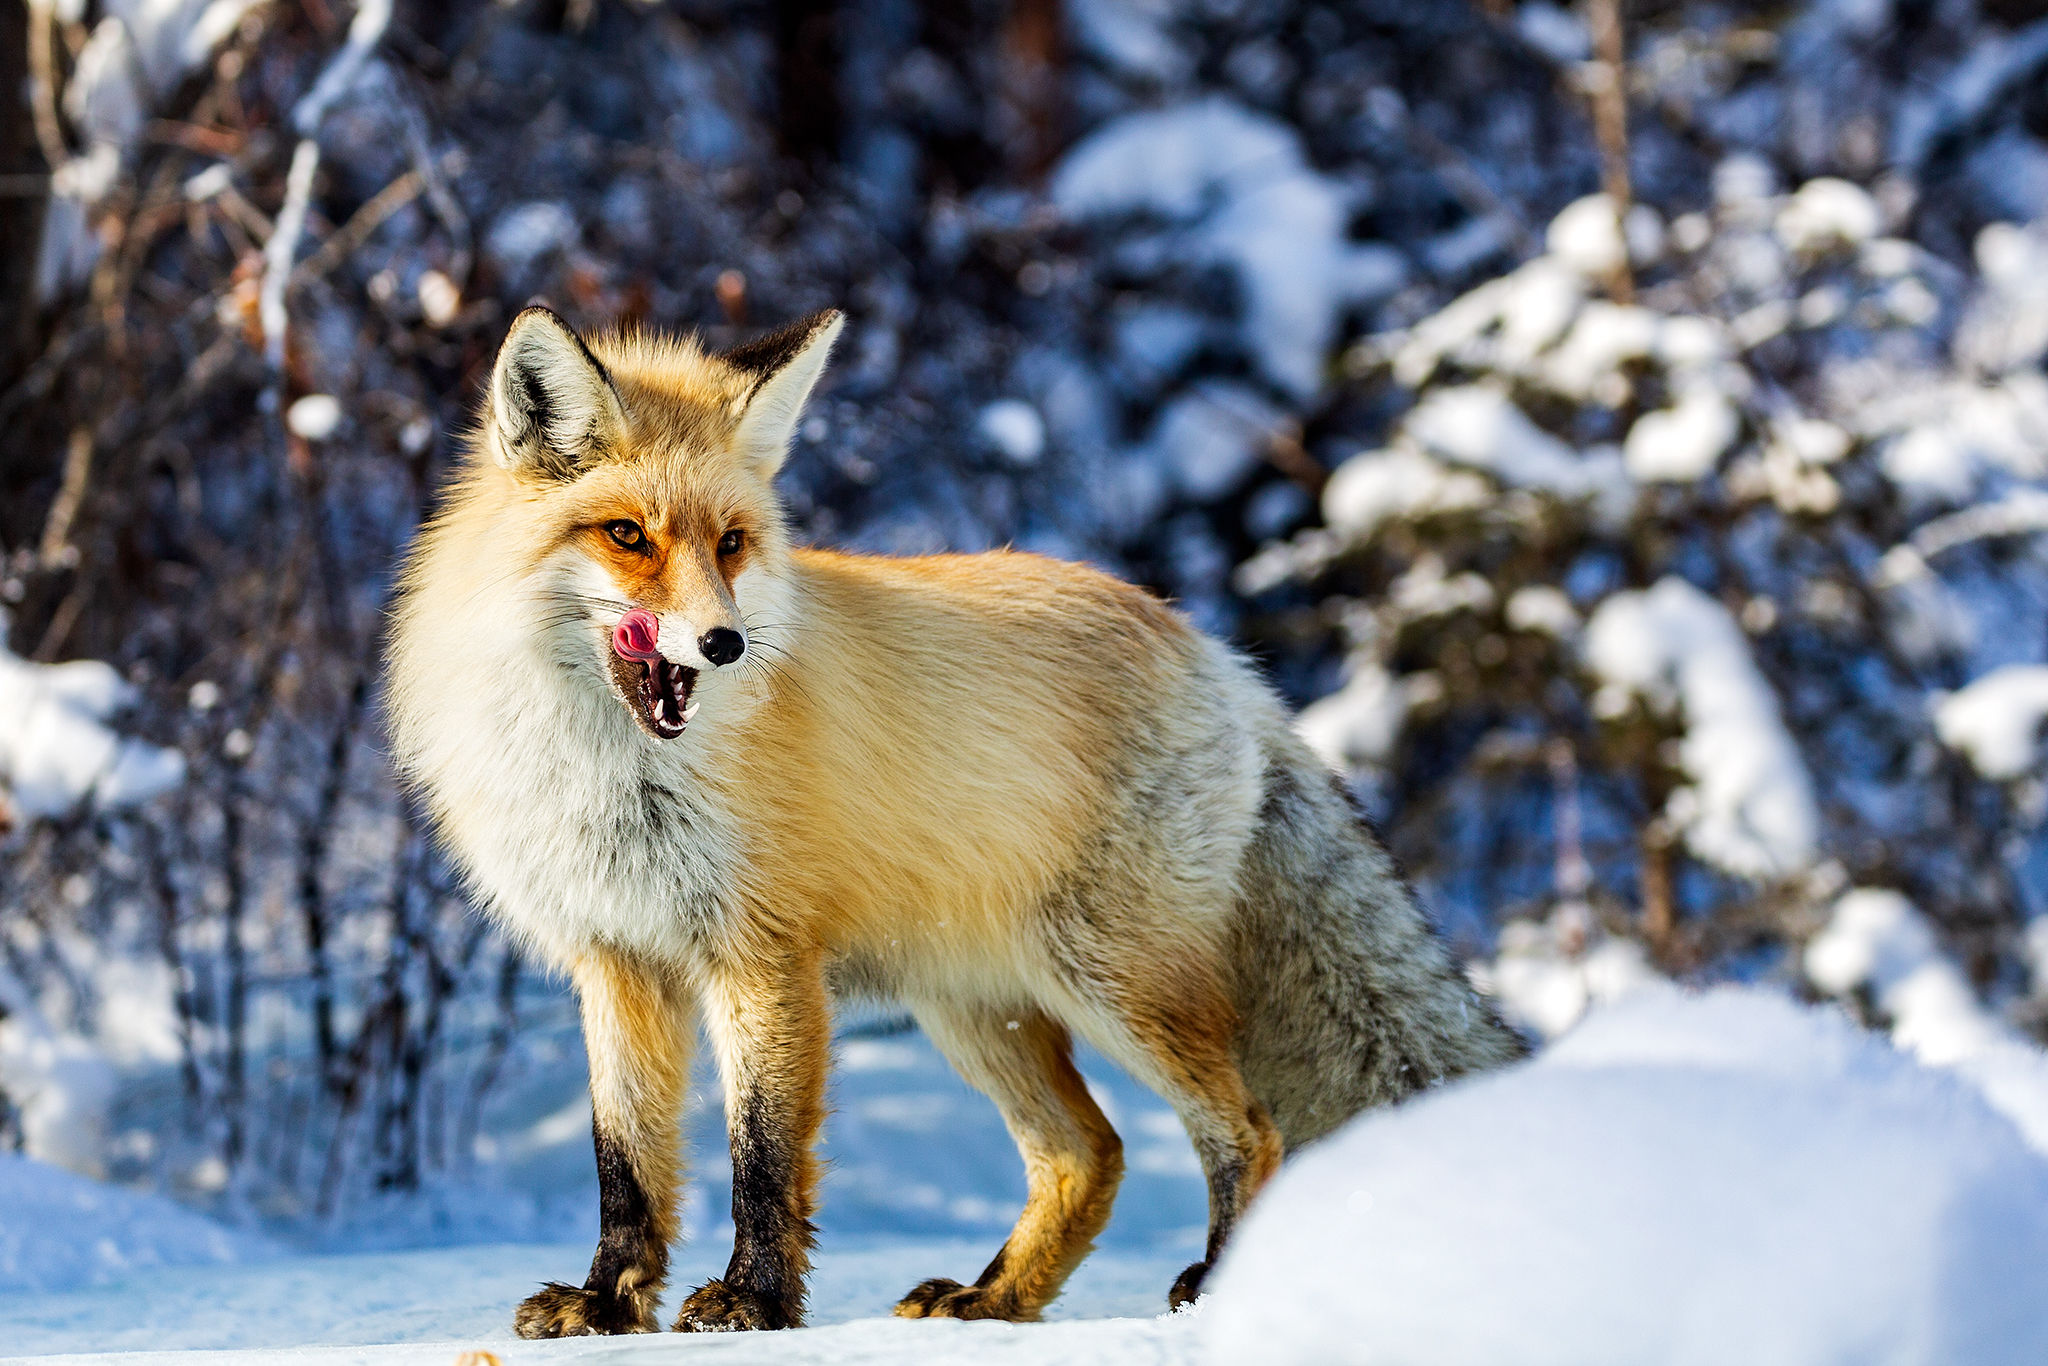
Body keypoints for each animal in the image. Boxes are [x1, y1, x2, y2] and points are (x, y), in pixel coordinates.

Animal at [391, 307, 1531, 1335]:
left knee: (1245, 1130)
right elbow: (624, 1162)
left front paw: (753, 1303)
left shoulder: (762, 955)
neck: (611, 773)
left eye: (730, 544)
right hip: (973, 1005)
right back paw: (992, 1298)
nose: (723, 643)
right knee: (1088, 1152)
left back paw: (1212, 1285)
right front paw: (606, 1304)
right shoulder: (615, 957)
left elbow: (762, 1155)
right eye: (627, 535)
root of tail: (1213, 651)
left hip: (1115, 980)